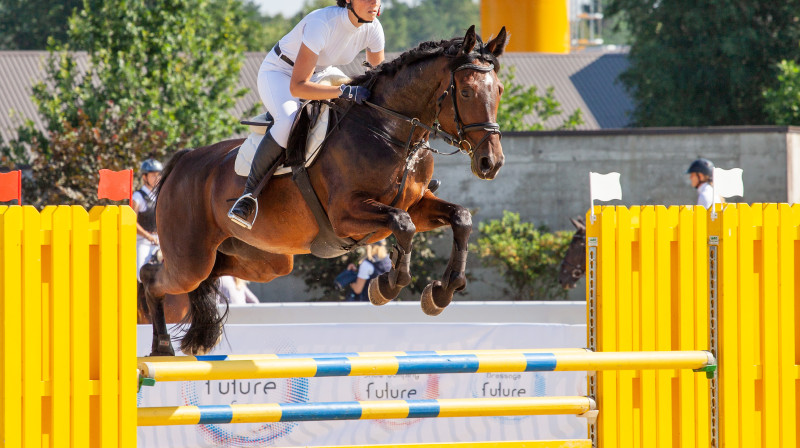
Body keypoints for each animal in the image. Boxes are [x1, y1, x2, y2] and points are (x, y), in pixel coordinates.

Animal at [141, 25, 510, 356]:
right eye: (466, 92)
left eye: (499, 90)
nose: (491, 163)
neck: (389, 130)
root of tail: (185, 160)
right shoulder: (346, 215)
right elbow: (402, 225)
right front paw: (386, 285)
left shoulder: (417, 204)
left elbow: (460, 218)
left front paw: (442, 292)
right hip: (191, 258)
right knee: (155, 277)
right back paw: (160, 347)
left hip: (263, 259)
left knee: (211, 277)